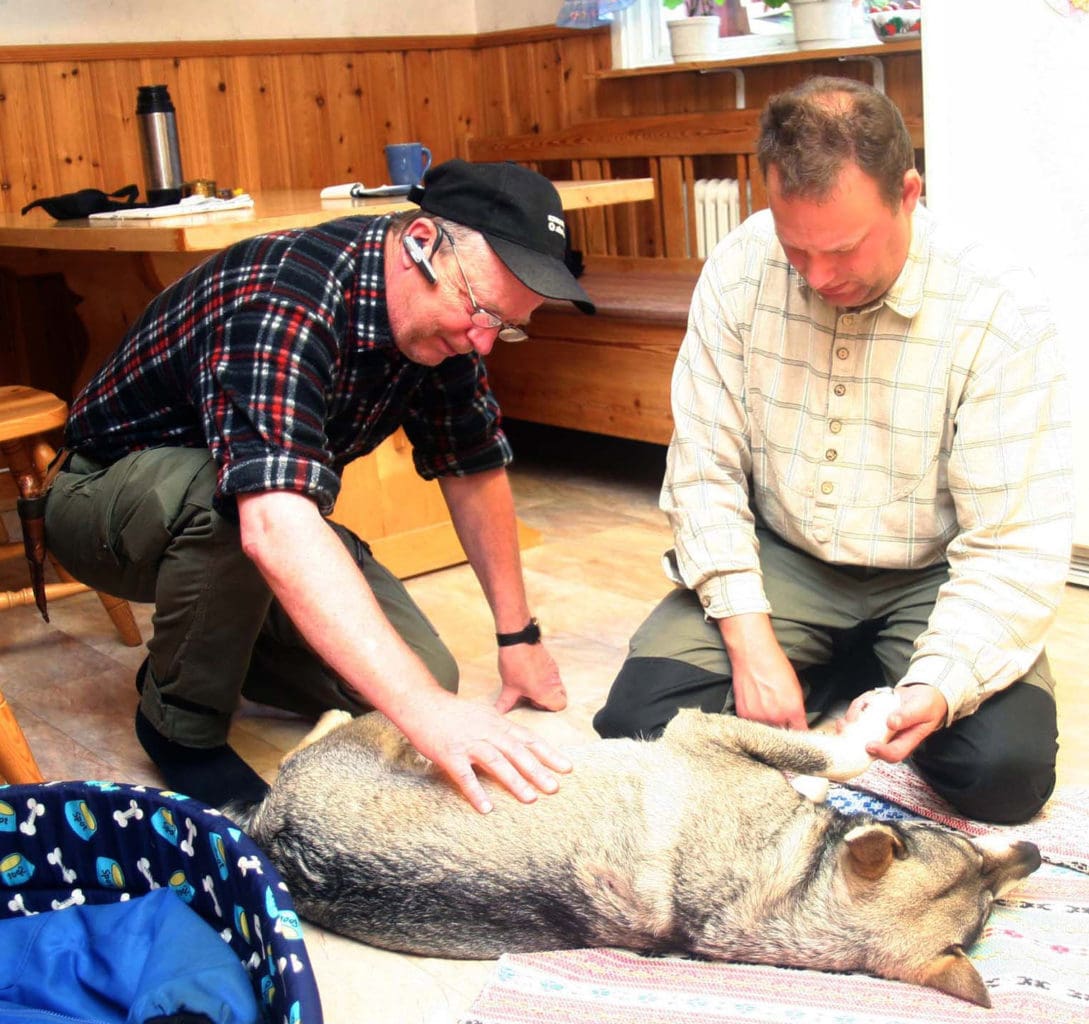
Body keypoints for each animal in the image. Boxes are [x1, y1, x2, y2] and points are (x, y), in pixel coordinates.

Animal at [227, 697, 1036, 1006]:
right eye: (954, 840)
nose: (1030, 850)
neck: (792, 880)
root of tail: (270, 831)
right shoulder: (702, 729)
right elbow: (832, 757)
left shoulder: (701, 732)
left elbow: (829, 760)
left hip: (386, 732)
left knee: (328, 719)